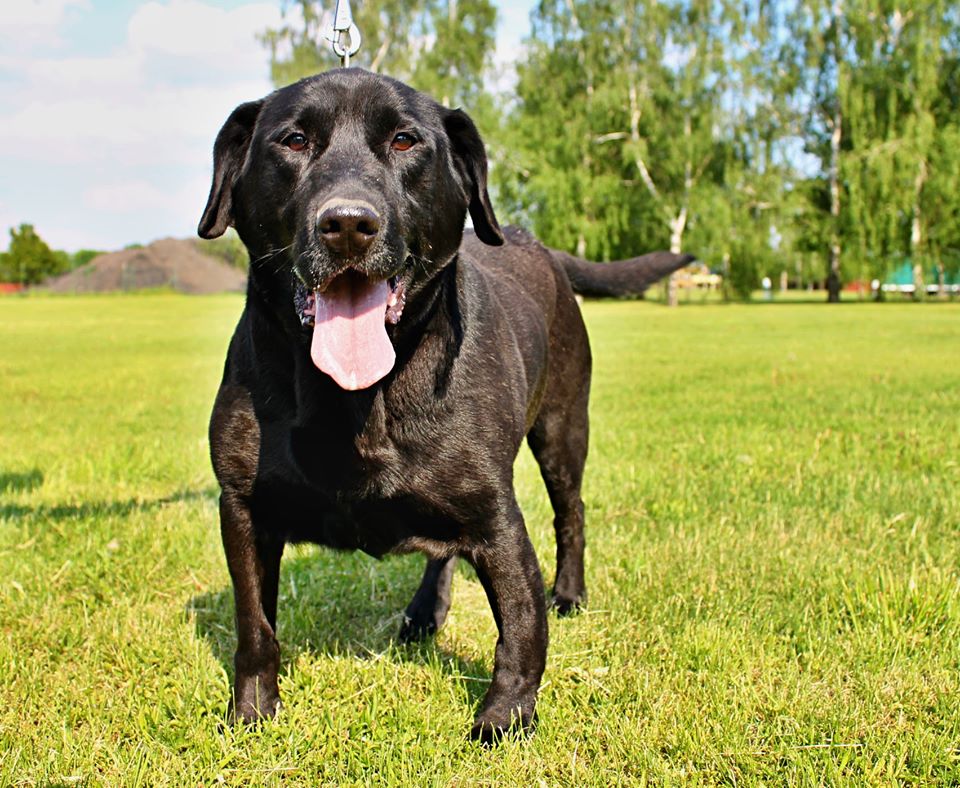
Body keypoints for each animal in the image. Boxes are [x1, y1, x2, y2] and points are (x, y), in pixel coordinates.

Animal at [199, 66, 688, 740]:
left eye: (405, 140)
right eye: (293, 140)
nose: (347, 223)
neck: (358, 397)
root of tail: (542, 247)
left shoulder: (496, 518)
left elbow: (520, 626)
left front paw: (504, 719)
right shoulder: (243, 509)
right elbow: (254, 627)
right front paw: (252, 712)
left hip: (562, 431)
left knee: (571, 516)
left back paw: (568, 594)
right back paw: (424, 611)